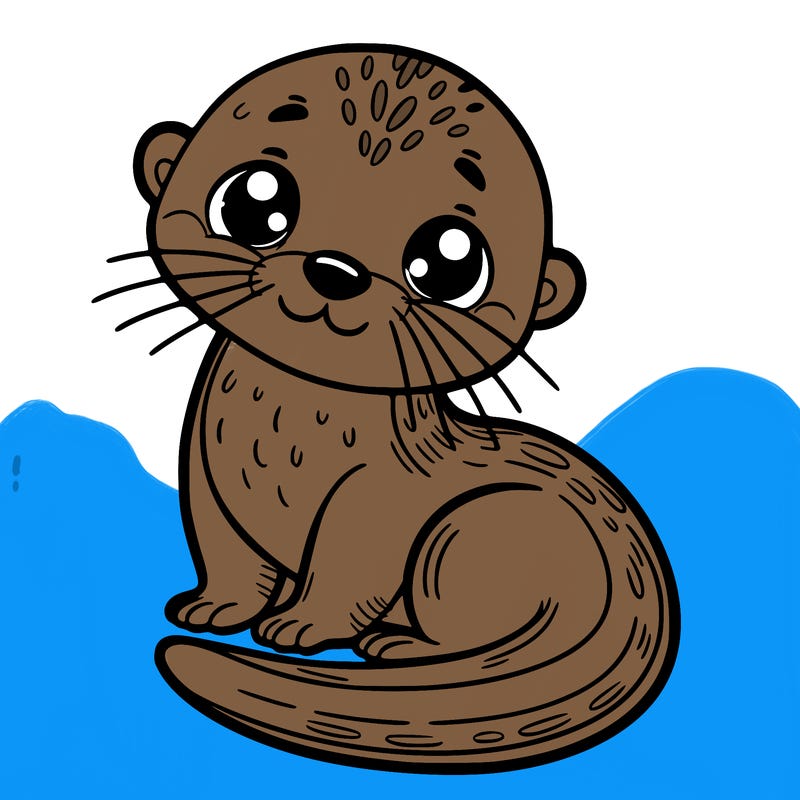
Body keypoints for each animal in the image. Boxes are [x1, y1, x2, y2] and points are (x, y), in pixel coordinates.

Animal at [108, 44, 679, 773]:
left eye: (448, 262)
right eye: (254, 200)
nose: (335, 270)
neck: (283, 435)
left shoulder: (377, 498)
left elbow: (350, 568)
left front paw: (301, 625)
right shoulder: (207, 475)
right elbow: (225, 552)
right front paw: (214, 607)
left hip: (472, 530)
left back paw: (400, 646)